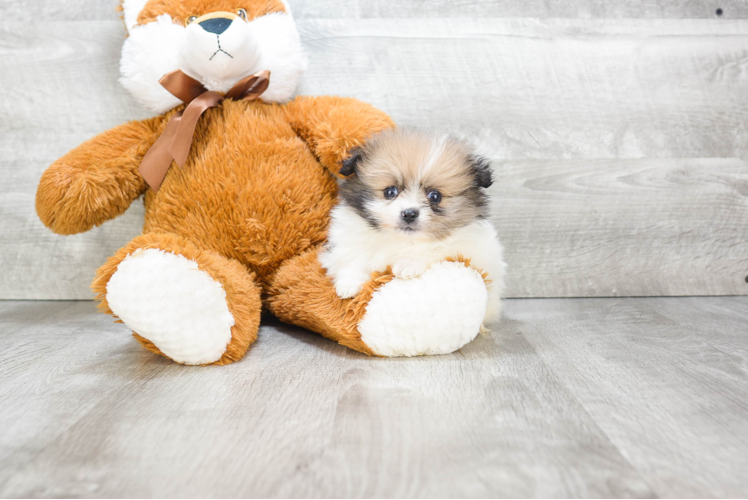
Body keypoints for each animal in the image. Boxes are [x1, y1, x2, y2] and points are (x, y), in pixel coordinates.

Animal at [318, 129, 506, 322]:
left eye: (435, 196)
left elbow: (438, 249)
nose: (409, 213)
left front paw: (407, 264)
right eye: (390, 191)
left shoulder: (472, 251)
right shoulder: (348, 239)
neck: (402, 239)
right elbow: (353, 257)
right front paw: (349, 284)